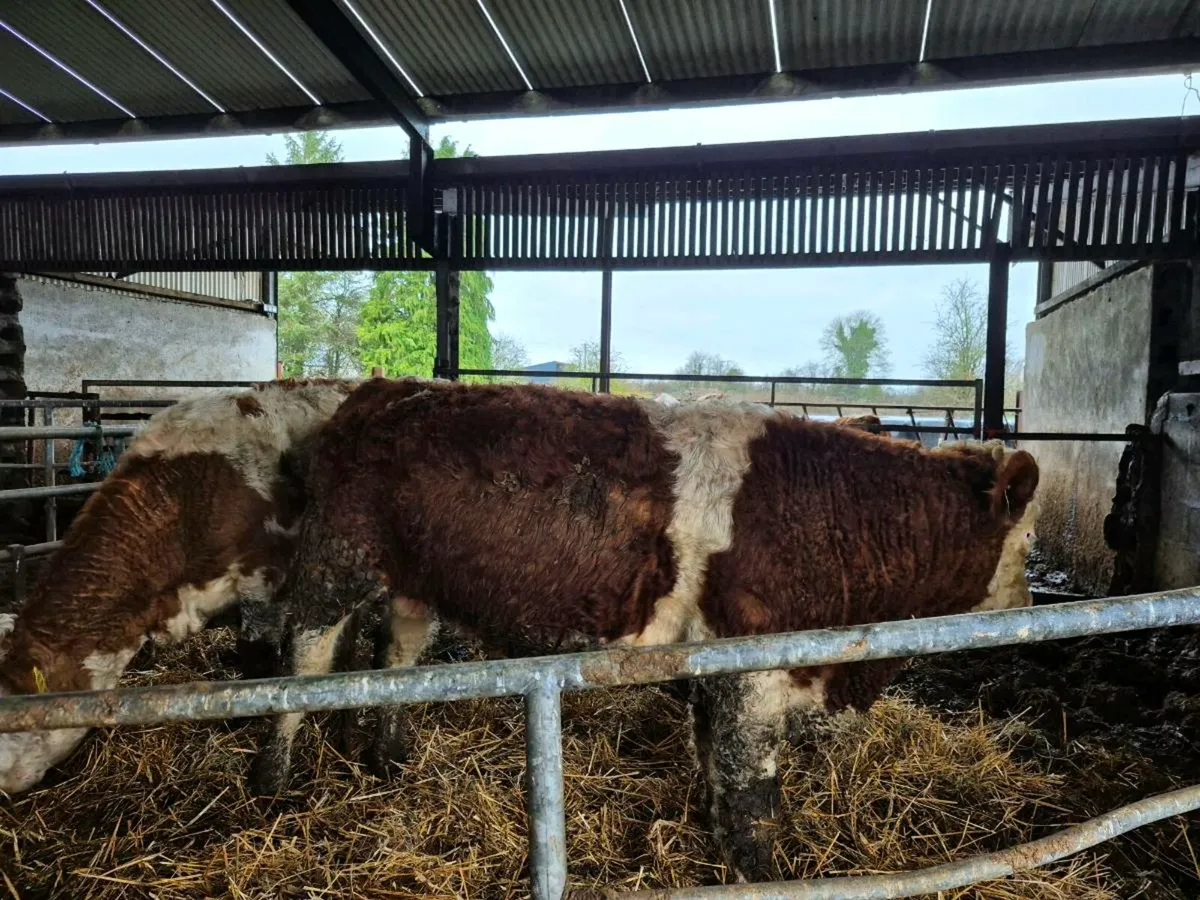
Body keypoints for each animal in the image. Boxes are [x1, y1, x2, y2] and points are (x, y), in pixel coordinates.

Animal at [246, 379, 1039, 882]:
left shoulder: (715, 667)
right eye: (1030, 543)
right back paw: (271, 785)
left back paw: (387, 758)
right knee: (300, 664)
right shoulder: (753, 667)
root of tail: (377, 390)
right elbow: (753, 794)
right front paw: (759, 870)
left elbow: (714, 764)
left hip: (414, 580)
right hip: (336, 560)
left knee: (398, 655)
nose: (1033, 605)